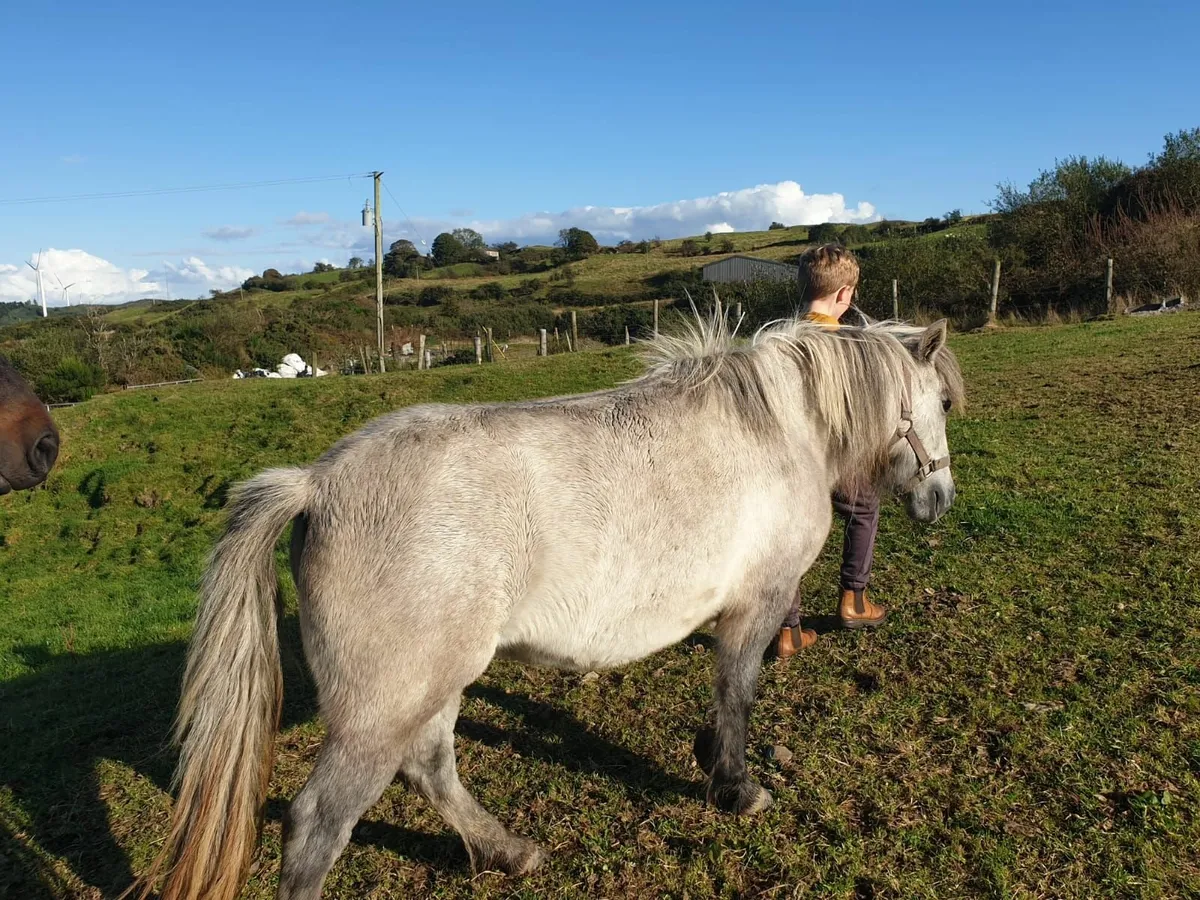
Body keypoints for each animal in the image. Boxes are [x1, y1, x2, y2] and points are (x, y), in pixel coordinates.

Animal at [134, 315, 965, 900]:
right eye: (940, 404)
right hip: (384, 707)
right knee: (319, 824)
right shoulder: (756, 605)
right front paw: (735, 784)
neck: (775, 428)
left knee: (430, 768)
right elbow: (738, 693)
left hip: (433, 684)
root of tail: (316, 483)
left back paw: (506, 852)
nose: (940, 498)